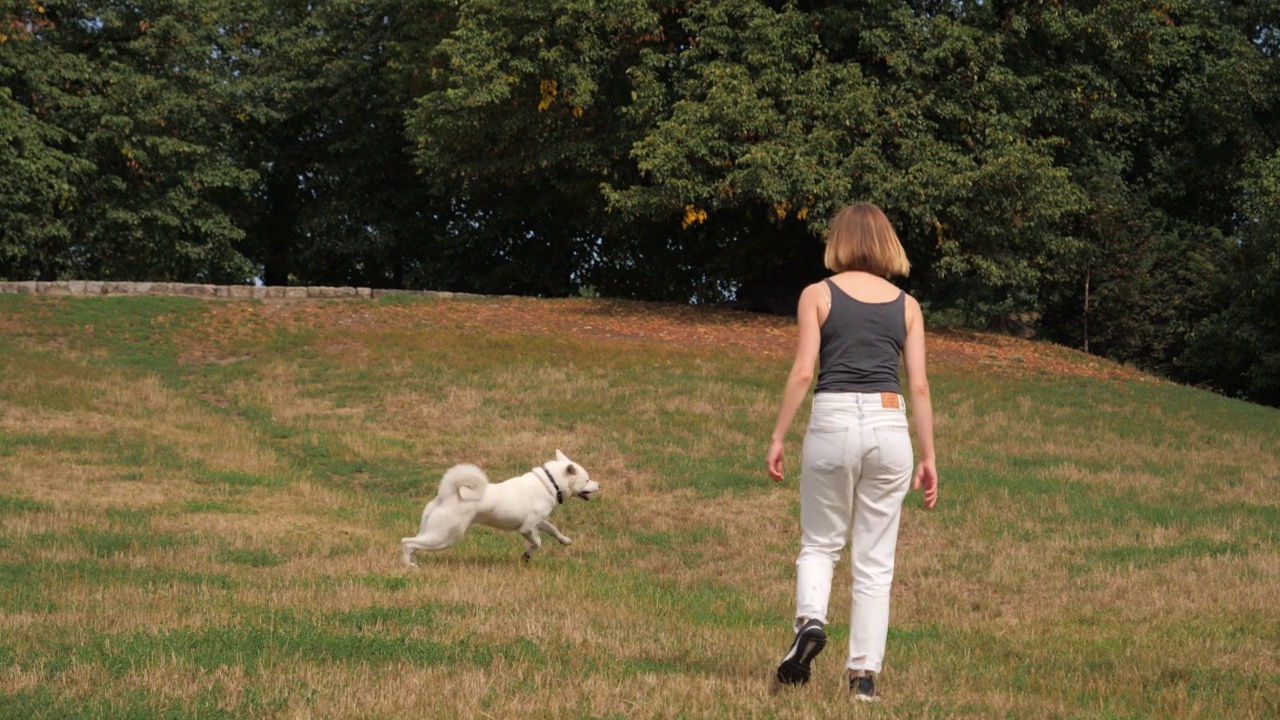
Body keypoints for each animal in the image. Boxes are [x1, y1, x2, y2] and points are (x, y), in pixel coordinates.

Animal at [399, 448, 599, 561]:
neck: (549, 483)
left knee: (413, 544)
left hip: (433, 533)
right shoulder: (527, 528)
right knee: (406, 542)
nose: (599, 485)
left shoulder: (539, 521)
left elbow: (553, 529)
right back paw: (410, 566)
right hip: (444, 537)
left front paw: (565, 540)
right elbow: (538, 542)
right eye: (587, 479)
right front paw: (527, 555)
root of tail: (447, 495)